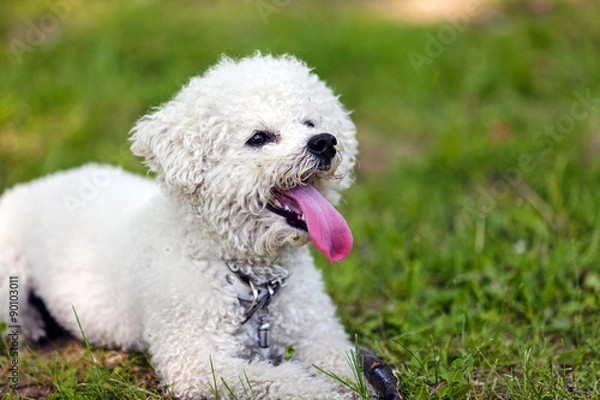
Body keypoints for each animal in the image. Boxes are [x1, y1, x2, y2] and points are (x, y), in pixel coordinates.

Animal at [1, 54, 360, 400]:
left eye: (310, 123)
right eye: (258, 138)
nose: (325, 141)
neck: (248, 278)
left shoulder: (316, 332)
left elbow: (346, 362)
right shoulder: (197, 361)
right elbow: (282, 381)